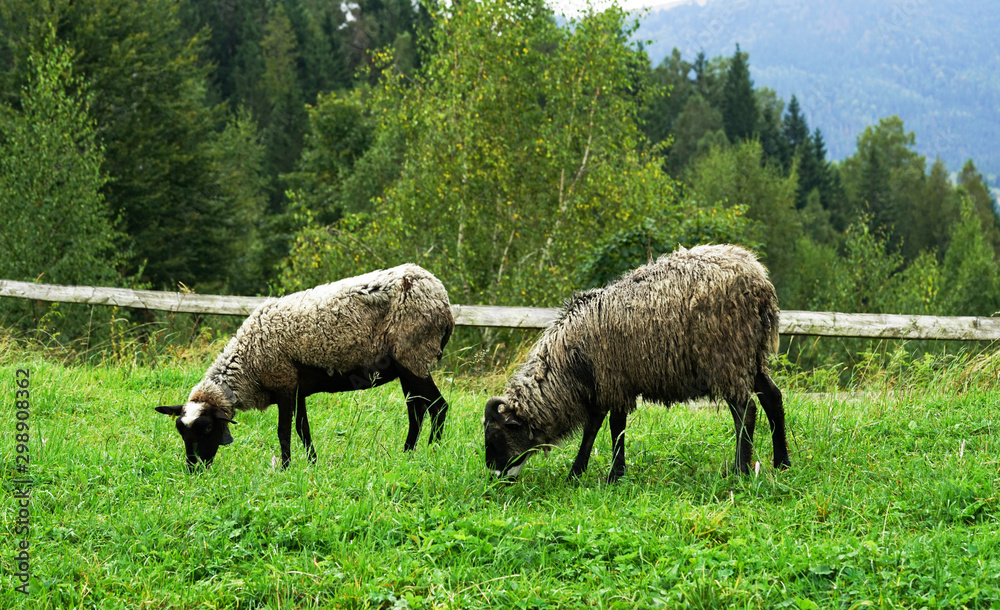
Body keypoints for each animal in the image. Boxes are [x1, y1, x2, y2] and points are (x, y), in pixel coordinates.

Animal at [155, 263, 454, 471]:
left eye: (207, 429)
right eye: (181, 431)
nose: (194, 469)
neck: (248, 363)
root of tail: (443, 299)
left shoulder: (284, 383)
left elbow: (284, 432)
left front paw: (286, 469)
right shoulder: (298, 391)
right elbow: (303, 429)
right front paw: (312, 464)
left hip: (414, 354)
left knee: (438, 406)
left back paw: (432, 453)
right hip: (407, 364)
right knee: (417, 410)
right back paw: (407, 454)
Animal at [483, 244, 790, 483]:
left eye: (495, 437)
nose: (494, 480)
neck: (566, 365)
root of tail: (760, 283)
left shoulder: (615, 381)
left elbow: (614, 427)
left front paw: (614, 476)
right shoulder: (603, 385)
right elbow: (593, 427)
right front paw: (577, 473)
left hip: (726, 356)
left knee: (745, 411)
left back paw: (741, 471)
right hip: (752, 356)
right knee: (773, 398)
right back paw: (782, 463)